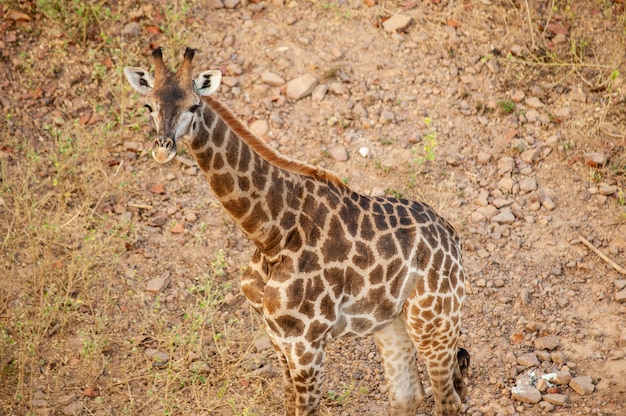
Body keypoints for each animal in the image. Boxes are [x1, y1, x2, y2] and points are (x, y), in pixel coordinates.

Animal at [123, 48, 468, 416]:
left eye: (194, 105)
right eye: (148, 106)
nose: (163, 147)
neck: (270, 235)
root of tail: (453, 239)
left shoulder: (307, 343)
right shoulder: (277, 337)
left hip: (434, 322)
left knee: (449, 401)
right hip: (393, 323)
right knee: (409, 397)